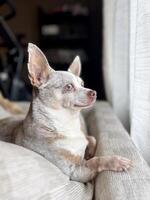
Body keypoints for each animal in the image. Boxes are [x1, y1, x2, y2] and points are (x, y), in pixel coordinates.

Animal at [0, 43, 132, 183]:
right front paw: (115, 161)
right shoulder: (76, 171)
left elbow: (92, 138)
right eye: (68, 87)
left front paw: (89, 152)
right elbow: (95, 161)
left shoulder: (85, 140)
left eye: (82, 84)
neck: (68, 123)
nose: (94, 92)